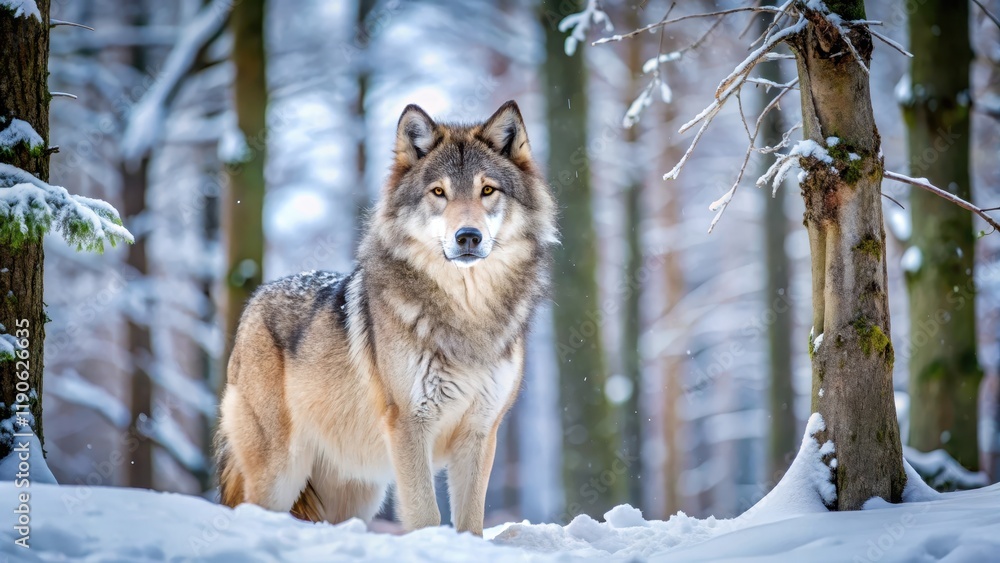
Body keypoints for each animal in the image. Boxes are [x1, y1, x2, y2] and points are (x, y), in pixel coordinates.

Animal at [215, 101, 557, 535]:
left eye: (487, 190)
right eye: (439, 192)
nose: (468, 236)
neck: (467, 314)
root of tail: (254, 299)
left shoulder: (480, 433)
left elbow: (471, 525)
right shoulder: (410, 424)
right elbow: (426, 516)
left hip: (356, 496)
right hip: (279, 477)